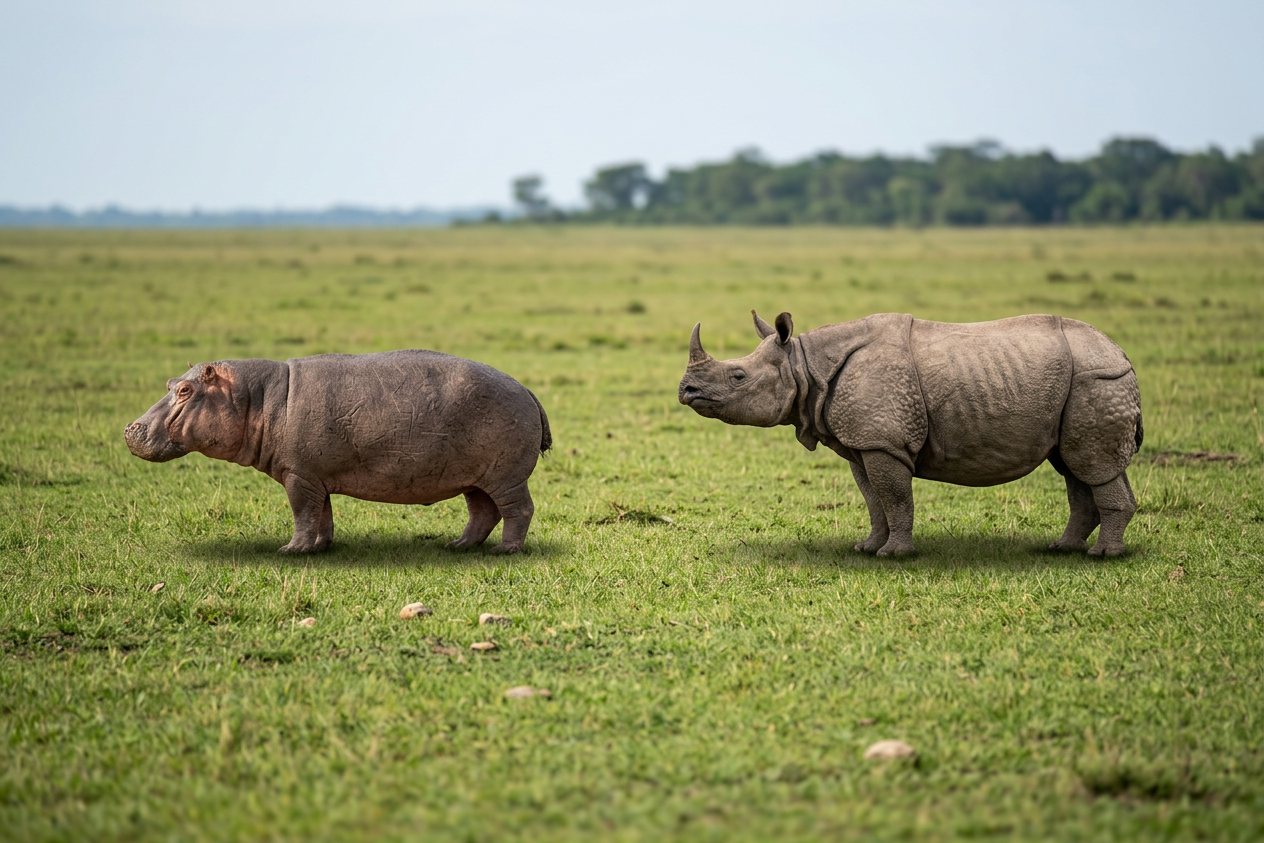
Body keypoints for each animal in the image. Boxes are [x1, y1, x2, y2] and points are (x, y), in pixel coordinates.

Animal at [125, 351, 550, 554]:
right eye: (170, 383)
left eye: (185, 390)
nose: (131, 428)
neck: (253, 397)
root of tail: (527, 389)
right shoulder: (313, 476)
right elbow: (321, 515)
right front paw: (320, 548)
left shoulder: (298, 476)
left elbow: (302, 514)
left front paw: (289, 550)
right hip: (476, 478)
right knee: (482, 512)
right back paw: (458, 546)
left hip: (506, 476)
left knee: (518, 510)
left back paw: (505, 551)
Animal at [678, 311, 1142, 557]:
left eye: (738, 376)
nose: (685, 391)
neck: (806, 365)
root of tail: (1121, 352)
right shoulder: (863, 443)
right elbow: (873, 498)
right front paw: (867, 548)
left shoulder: (884, 441)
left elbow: (895, 495)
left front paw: (894, 555)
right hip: (1083, 382)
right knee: (1074, 467)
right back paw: (1063, 549)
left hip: (1096, 379)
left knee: (1091, 464)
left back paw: (1103, 556)